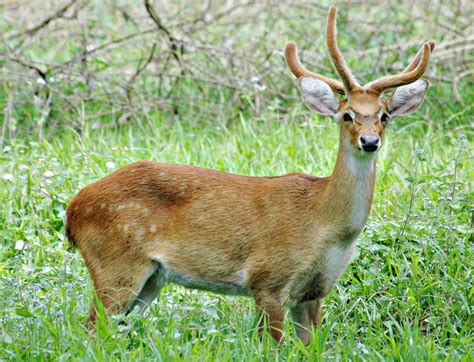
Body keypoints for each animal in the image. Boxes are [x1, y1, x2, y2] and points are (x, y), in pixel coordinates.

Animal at [65, 7, 434, 344]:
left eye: (384, 116)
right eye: (347, 115)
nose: (369, 142)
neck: (327, 224)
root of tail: (73, 210)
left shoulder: (314, 292)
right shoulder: (267, 279)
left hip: (151, 278)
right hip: (115, 265)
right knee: (90, 331)